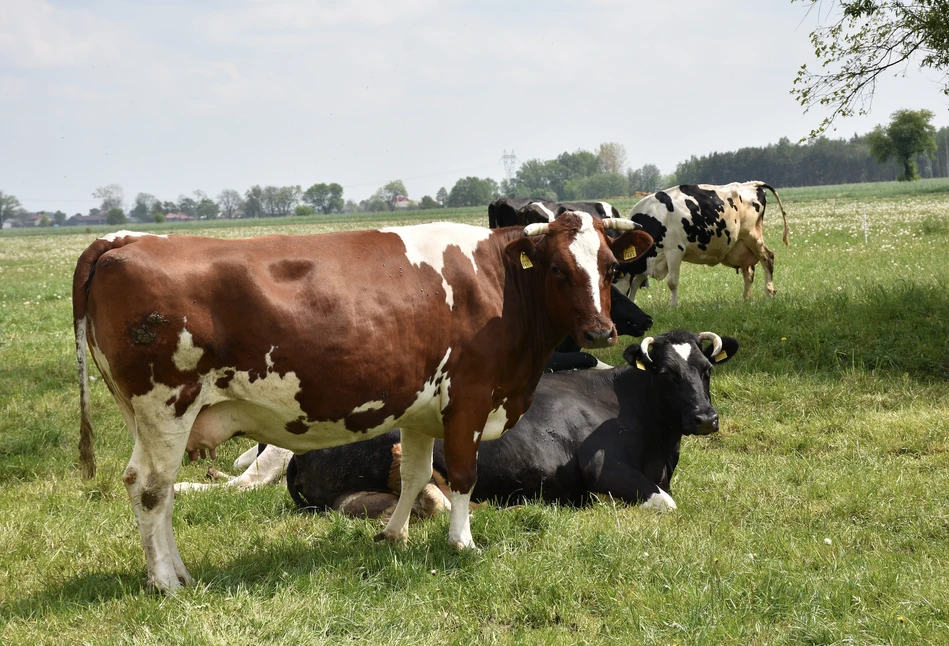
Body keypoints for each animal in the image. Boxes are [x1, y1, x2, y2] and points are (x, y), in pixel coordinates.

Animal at [74, 219, 652, 596]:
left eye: (608, 267)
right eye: (556, 268)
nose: (600, 331)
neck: (500, 285)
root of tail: (122, 240)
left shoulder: (421, 410)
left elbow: (417, 475)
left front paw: (393, 535)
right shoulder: (468, 398)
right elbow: (462, 476)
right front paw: (462, 543)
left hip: (151, 418)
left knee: (163, 491)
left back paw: (179, 572)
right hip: (167, 406)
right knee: (149, 489)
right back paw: (166, 583)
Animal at [286, 332, 736, 520]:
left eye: (707, 369)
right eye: (666, 374)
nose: (705, 418)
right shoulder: (602, 466)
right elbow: (666, 503)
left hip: (347, 493)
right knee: (428, 496)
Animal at [624, 180, 788, 306]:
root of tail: (751, 184)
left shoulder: (674, 251)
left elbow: (672, 282)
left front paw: (674, 306)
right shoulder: (646, 262)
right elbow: (636, 281)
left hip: (752, 236)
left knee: (768, 258)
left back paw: (768, 292)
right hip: (741, 245)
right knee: (748, 272)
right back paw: (745, 299)